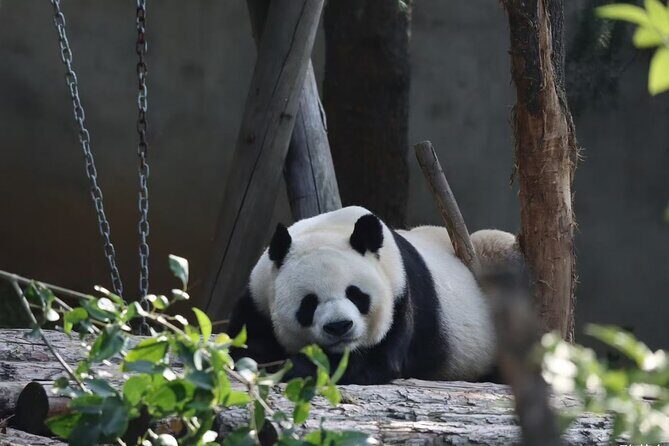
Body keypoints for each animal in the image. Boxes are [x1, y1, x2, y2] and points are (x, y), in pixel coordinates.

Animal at [228, 206, 519, 384]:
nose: (339, 326)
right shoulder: (259, 294)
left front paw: (296, 366)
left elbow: (372, 362)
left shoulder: (400, 296)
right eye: (309, 303)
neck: (329, 229)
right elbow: (243, 340)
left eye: (356, 294)